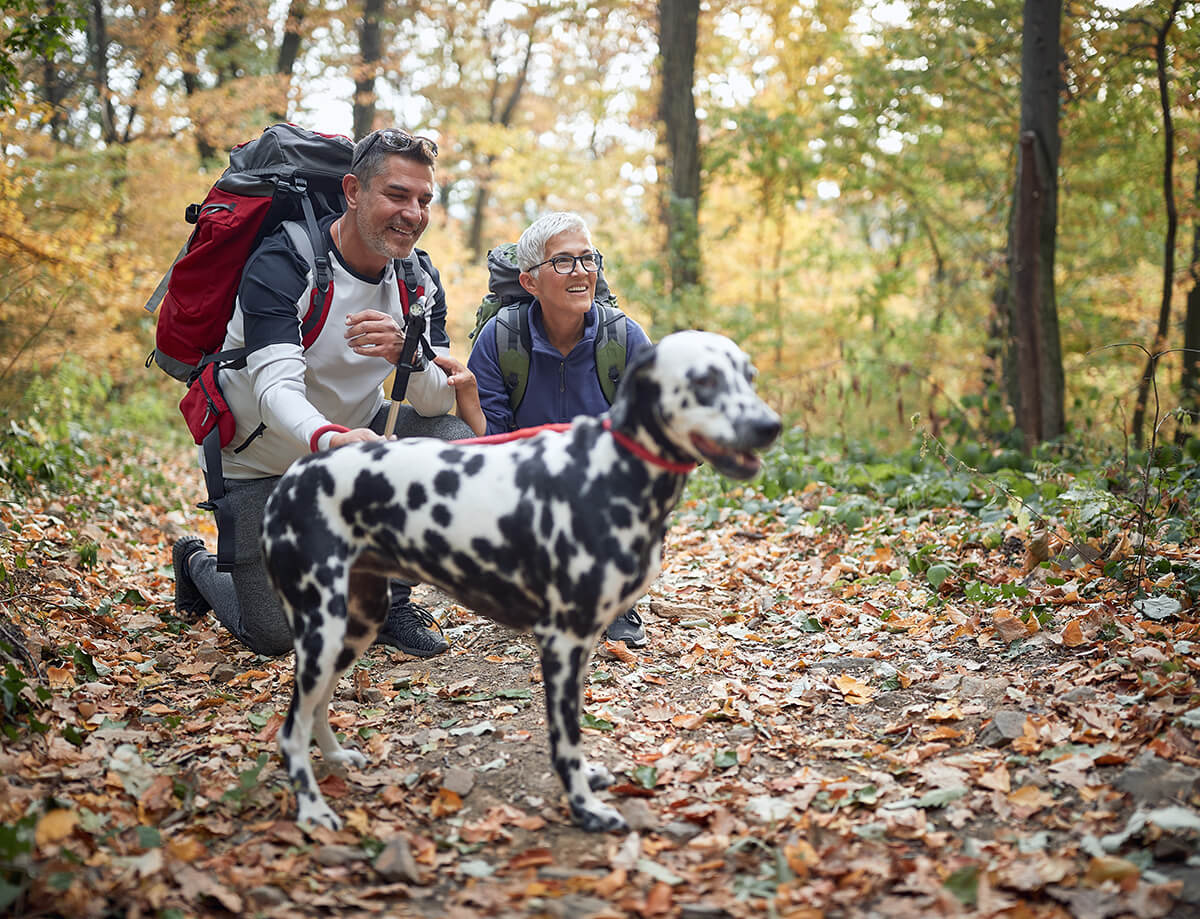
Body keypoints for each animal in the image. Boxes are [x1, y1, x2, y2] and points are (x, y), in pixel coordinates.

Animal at [262, 331, 782, 835]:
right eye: (704, 380)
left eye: (750, 376)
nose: (770, 425)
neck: (609, 470)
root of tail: (293, 479)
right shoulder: (562, 643)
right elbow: (567, 740)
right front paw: (585, 808)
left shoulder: (584, 647)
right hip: (323, 633)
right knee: (291, 729)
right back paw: (312, 811)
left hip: (353, 630)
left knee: (315, 708)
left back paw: (334, 759)